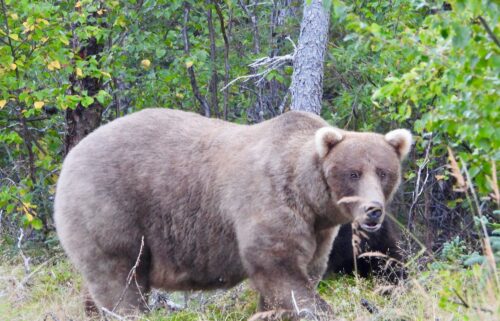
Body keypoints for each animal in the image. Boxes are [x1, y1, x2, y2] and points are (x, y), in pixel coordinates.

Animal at [53, 108, 410, 318]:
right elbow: (280, 268)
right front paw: (316, 308)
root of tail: (71, 155)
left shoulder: (319, 231)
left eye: (383, 172)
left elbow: (307, 269)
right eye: (353, 173)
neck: (310, 197)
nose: (373, 211)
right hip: (111, 208)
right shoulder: (269, 201)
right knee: (120, 279)